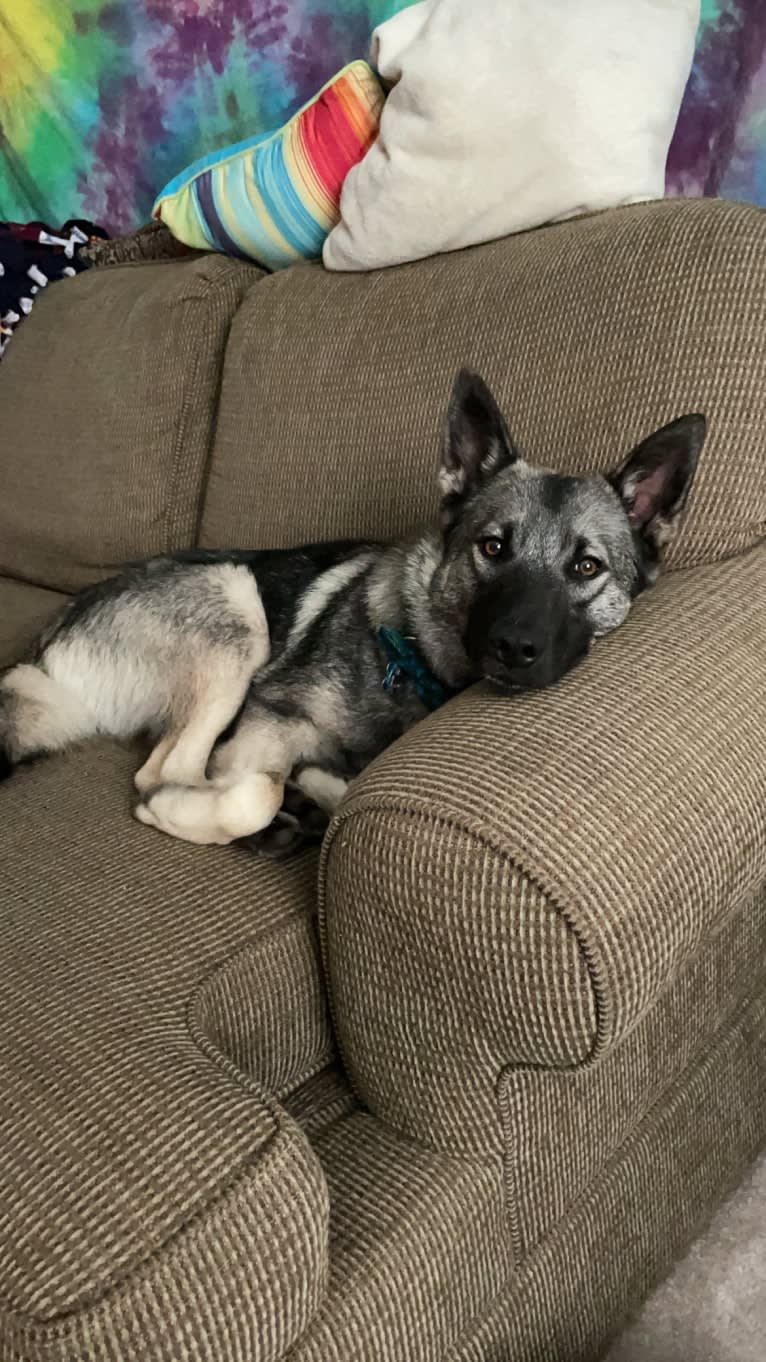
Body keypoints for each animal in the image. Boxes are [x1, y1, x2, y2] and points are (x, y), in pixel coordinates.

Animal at [0, 367, 703, 844]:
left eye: (586, 568)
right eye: (493, 547)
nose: (513, 648)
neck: (414, 661)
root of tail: (46, 656)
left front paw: (316, 790)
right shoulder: (264, 722)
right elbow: (250, 788)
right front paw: (262, 798)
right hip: (235, 605)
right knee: (163, 770)